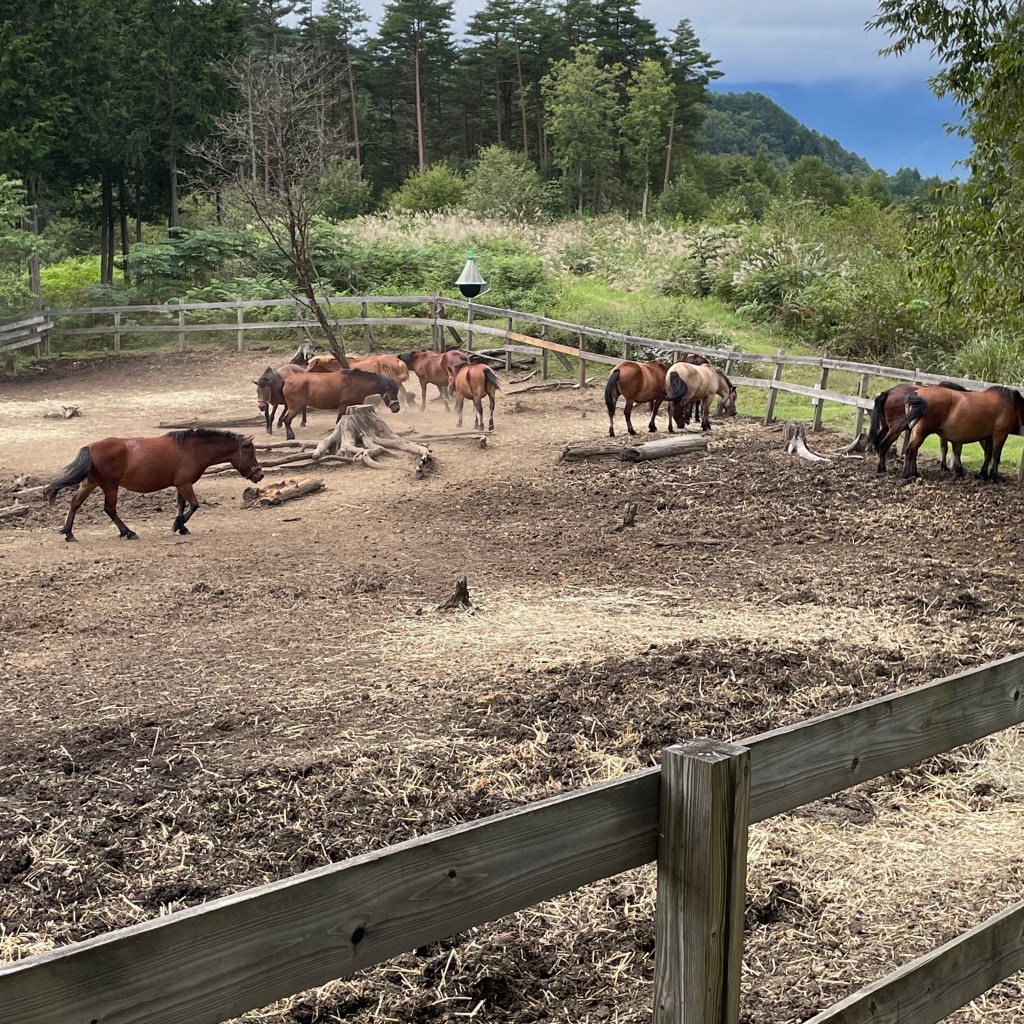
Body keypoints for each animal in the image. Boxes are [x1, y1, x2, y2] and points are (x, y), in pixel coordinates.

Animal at [43, 428, 264, 544]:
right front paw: (178, 525)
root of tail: (89, 447)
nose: (260, 475)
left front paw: (181, 526)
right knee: (109, 509)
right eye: (250, 452)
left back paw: (68, 532)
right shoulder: (185, 485)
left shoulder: (181, 485)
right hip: (110, 486)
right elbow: (194, 506)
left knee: (74, 503)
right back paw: (128, 532)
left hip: (90, 483)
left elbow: (182, 506)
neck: (192, 449)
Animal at [876, 385, 1024, 479]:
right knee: (909, 450)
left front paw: (983, 474)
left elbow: (987, 454)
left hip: (914, 432)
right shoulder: (1000, 434)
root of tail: (917, 393)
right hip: (919, 433)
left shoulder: (987, 436)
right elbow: (995, 455)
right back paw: (906, 474)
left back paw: (912, 473)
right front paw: (993, 476)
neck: (1011, 404)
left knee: (910, 451)